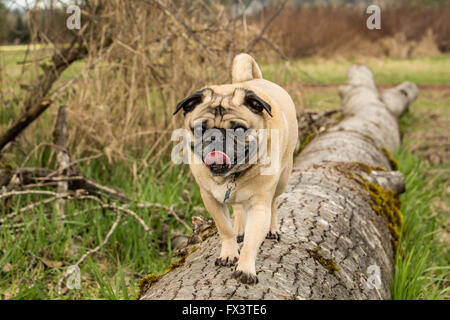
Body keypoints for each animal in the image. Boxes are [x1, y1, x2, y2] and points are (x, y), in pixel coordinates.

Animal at [173, 53, 298, 284]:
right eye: (200, 128)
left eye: (239, 129)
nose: (216, 137)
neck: (231, 176)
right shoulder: (210, 199)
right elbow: (225, 228)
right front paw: (229, 253)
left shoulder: (259, 205)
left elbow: (252, 240)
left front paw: (246, 268)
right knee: (238, 208)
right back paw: (239, 227)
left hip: (283, 179)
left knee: (274, 203)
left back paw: (273, 229)